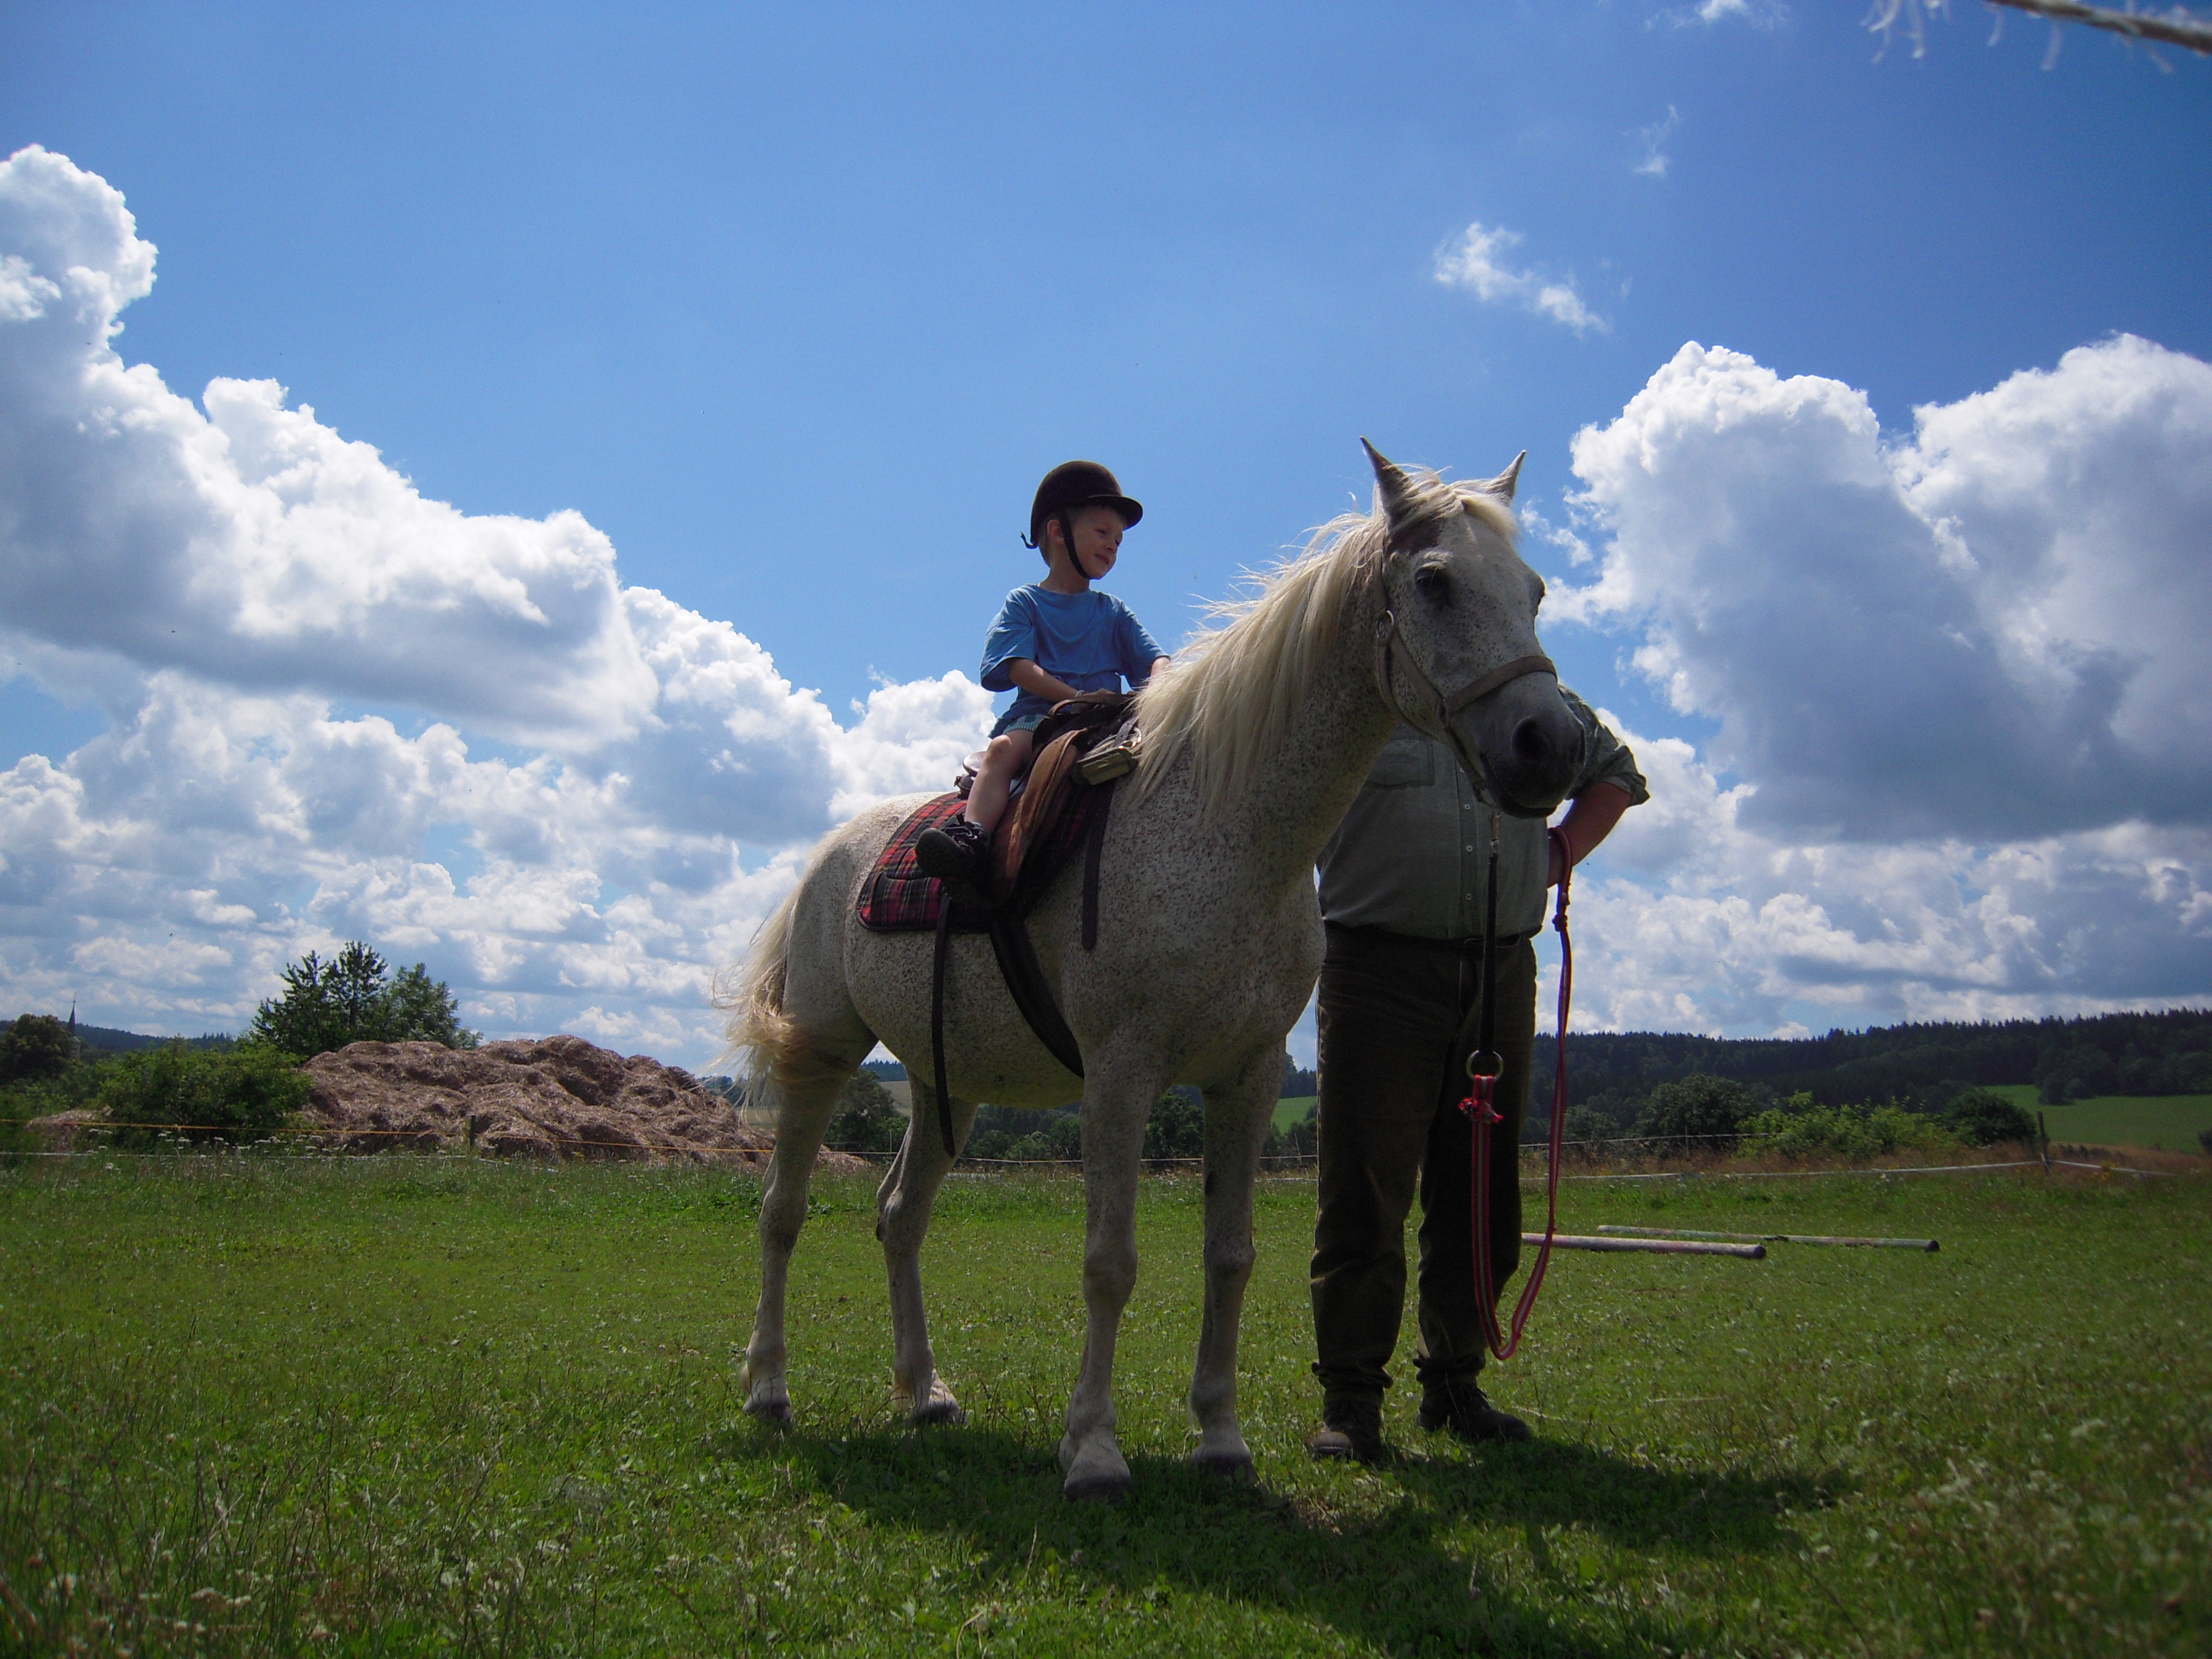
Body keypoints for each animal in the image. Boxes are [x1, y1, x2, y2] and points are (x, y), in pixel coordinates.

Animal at [724, 441, 1581, 1502]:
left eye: (1533, 592)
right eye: (1434, 582)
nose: (1552, 745)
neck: (1231, 829)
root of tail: (827, 859)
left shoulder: (1248, 1078)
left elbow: (1230, 1255)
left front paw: (1220, 1438)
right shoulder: (1121, 1074)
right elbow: (1110, 1261)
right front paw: (1093, 1446)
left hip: (941, 1084)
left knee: (899, 1218)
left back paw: (923, 1393)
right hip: (825, 1053)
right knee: (782, 1213)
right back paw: (768, 1389)